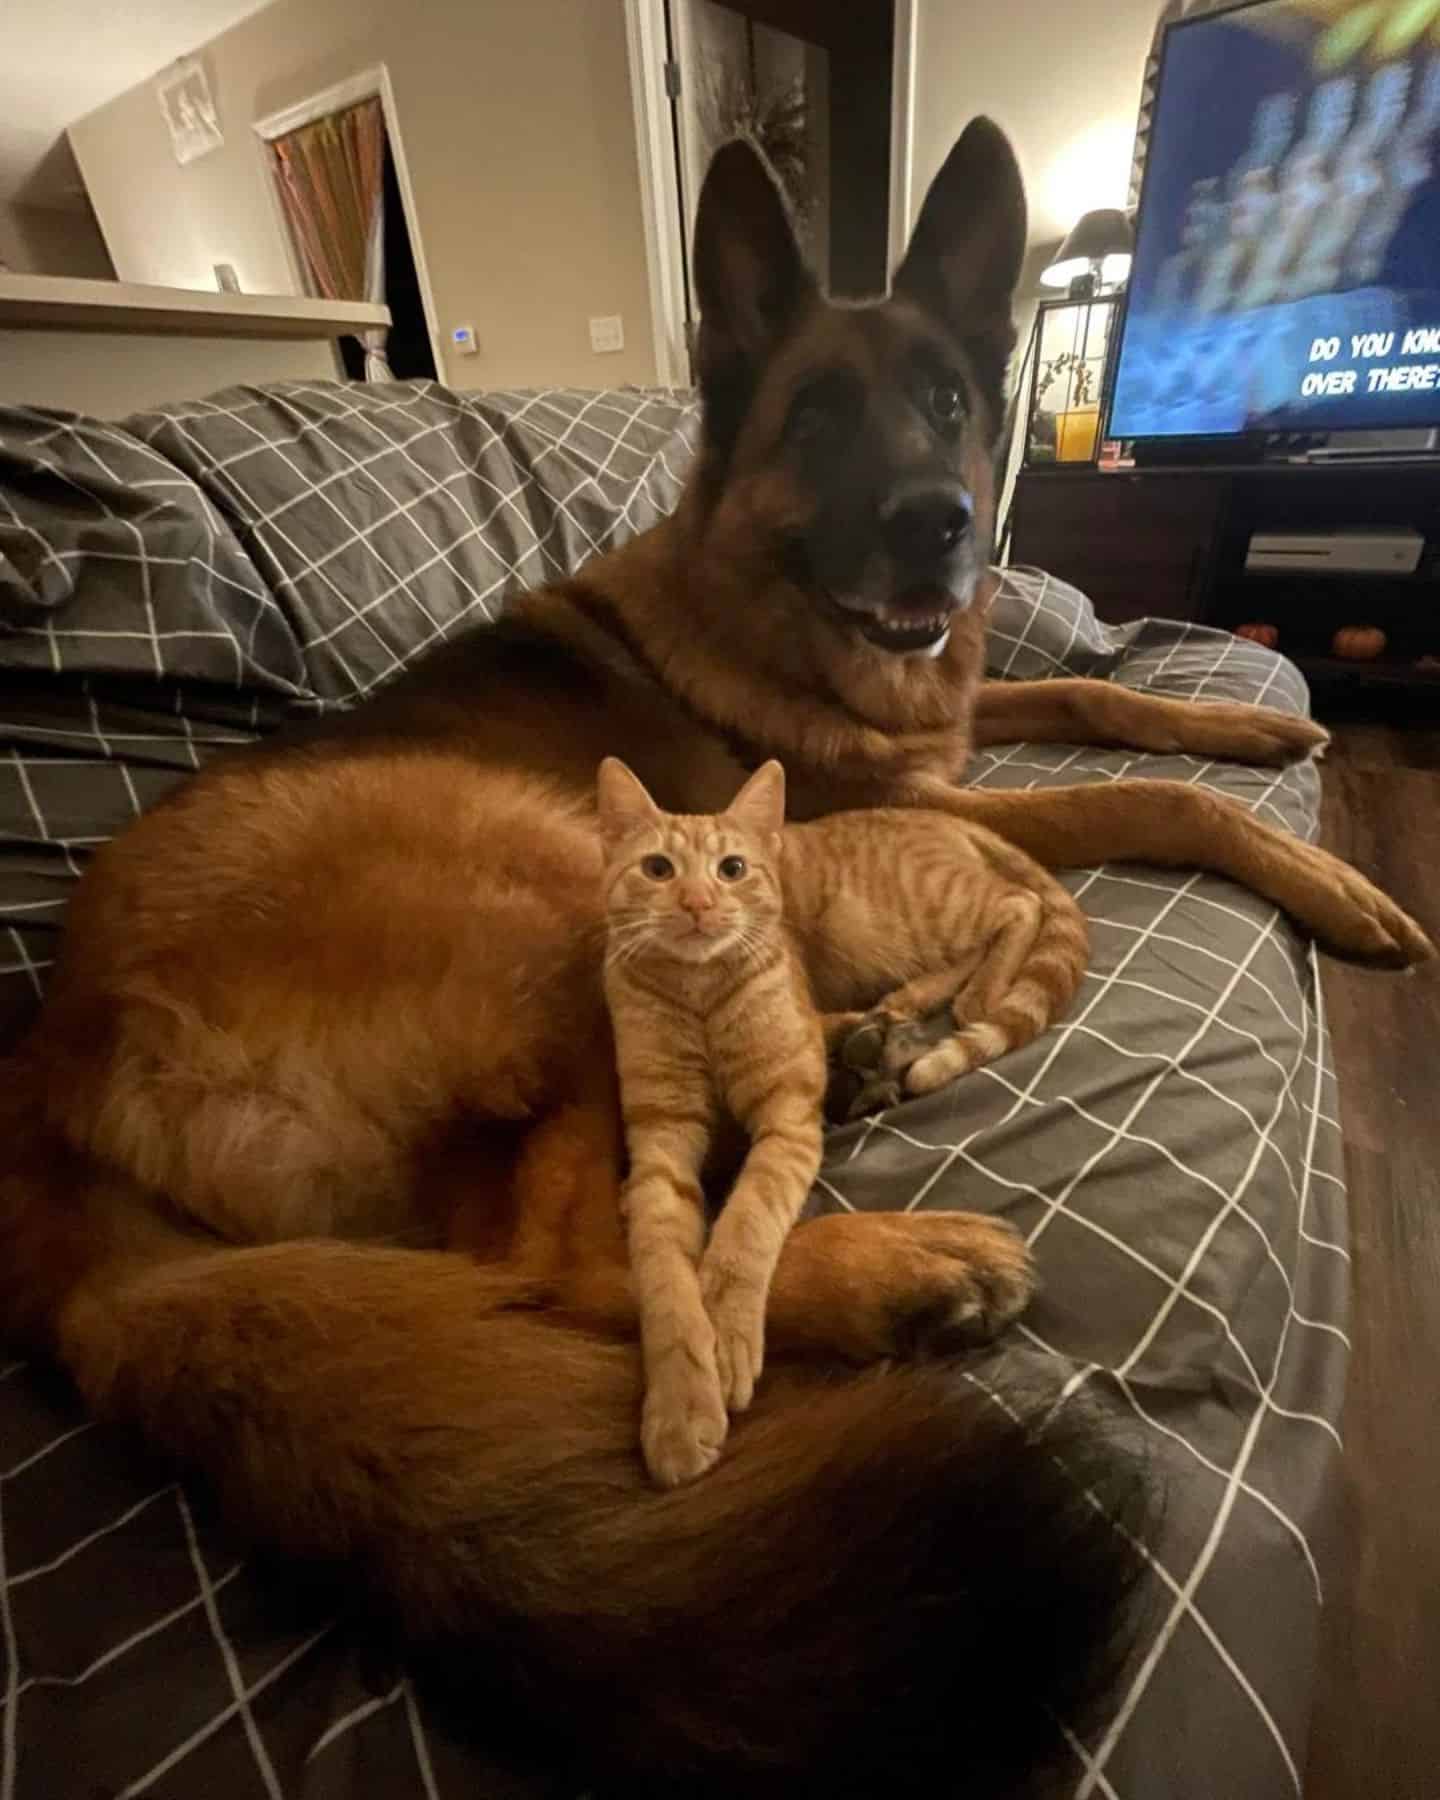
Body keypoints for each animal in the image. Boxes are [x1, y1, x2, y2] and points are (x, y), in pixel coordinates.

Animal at [590, 752, 1087, 1483]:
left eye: (731, 869)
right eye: (658, 869)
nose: (699, 904)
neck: (701, 990)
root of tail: (944, 816)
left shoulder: (787, 1118)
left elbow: (744, 1227)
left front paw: (727, 1330)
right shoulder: (659, 1149)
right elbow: (663, 1283)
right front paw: (680, 1407)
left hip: (897, 917)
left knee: (1016, 906)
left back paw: (969, 999)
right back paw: (904, 1007)